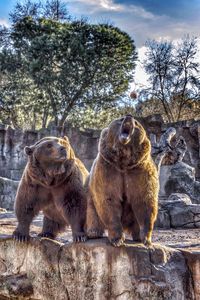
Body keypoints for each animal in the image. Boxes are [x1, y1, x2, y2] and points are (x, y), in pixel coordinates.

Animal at [86, 115, 159, 246]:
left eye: (136, 123)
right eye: (120, 119)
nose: (128, 117)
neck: (123, 160)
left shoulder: (139, 171)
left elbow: (145, 200)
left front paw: (146, 239)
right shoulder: (108, 170)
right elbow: (108, 199)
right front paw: (117, 239)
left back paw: (137, 235)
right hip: (89, 191)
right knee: (91, 210)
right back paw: (93, 232)